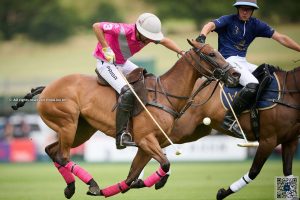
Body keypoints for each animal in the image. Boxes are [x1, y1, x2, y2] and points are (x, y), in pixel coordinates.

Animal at [12, 40, 239, 198]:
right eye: (211, 54)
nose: (235, 75)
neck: (165, 93)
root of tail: (46, 89)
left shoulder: (148, 145)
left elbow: (132, 177)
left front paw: (119, 188)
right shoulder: (146, 140)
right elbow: (165, 164)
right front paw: (156, 182)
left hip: (81, 130)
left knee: (51, 151)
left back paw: (73, 187)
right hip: (67, 122)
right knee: (63, 156)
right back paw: (92, 183)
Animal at [155, 65, 300, 198]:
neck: (289, 94)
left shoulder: (291, 141)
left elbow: (288, 173)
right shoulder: (268, 140)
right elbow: (254, 171)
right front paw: (222, 193)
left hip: (195, 131)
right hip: (183, 127)